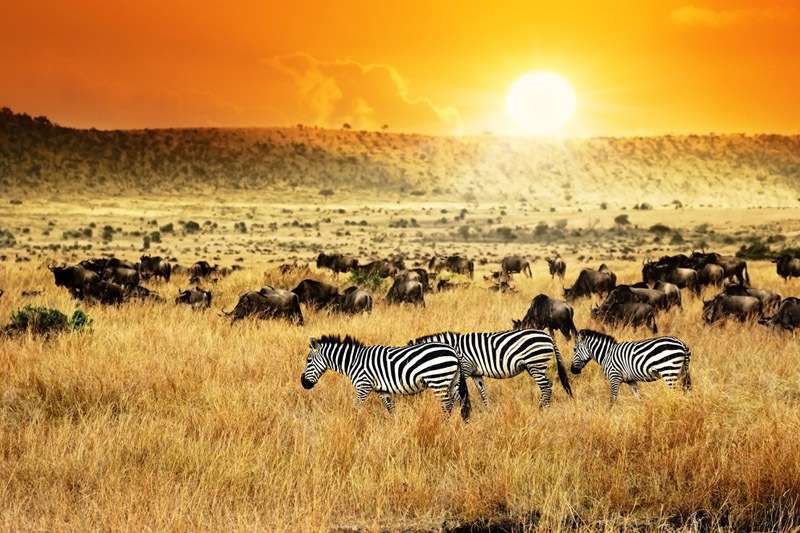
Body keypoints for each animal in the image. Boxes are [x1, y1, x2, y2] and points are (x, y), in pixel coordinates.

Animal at [301, 335, 471, 420]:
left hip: (438, 379)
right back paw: (463, 423)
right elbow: (391, 409)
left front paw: (353, 424)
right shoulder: (383, 390)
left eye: (308, 360)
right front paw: (394, 428)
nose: (303, 383)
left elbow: (356, 407)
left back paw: (444, 425)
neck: (353, 361)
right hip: (452, 381)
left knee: (447, 405)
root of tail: (452, 350)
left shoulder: (363, 385)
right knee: (461, 402)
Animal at [408, 329, 572, 408]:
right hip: (535, 365)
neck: (453, 348)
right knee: (547, 385)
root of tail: (547, 336)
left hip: (535, 364)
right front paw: (488, 410)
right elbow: (482, 392)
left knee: (546, 387)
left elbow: (456, 392)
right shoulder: (475, 373)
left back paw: (542, 408)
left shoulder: (465, 368)